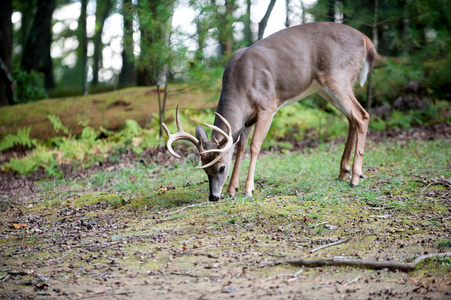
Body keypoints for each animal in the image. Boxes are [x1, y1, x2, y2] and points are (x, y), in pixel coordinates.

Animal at [162, 22, 378, 202]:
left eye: (221, 167)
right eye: (205, 169)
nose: (213, 197)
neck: (240, 85)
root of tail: (365, 38)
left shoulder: (268, 106)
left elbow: (255, 146)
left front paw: (248, 189)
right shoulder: (246, 120)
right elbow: (240, 147)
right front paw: (232, 189)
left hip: (338, 77)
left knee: (362, 115)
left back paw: (355, 178)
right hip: (325, 88)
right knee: (351, 119)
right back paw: (343, 172)